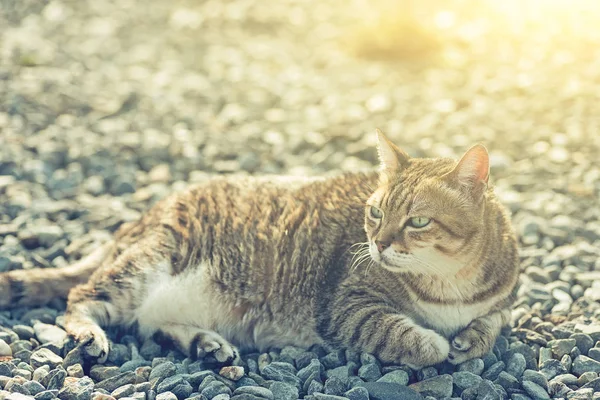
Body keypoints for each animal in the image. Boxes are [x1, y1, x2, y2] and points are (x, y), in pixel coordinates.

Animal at [0, 133, 516, 370]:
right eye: (374, 213)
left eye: (418, 221)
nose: (378, 242)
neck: (448, 284)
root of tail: (140, 216)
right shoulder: (349, 307)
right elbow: (407, 336)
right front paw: (439, 344)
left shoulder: (503, 299)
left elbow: (494, 320)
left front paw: (472, 339)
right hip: (151, 260)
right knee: (82, 298)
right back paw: (91, 334)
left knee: (151, 325)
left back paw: (204, 343)